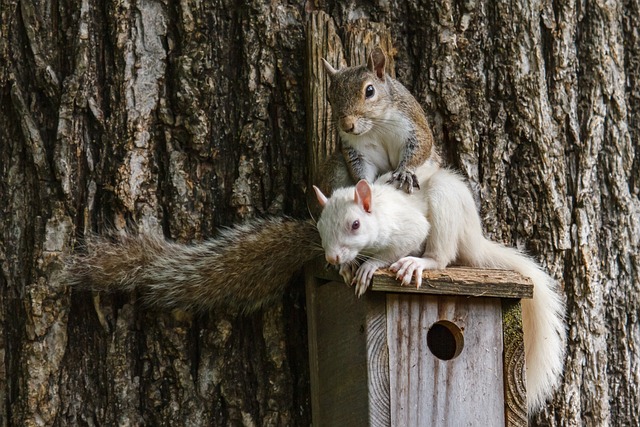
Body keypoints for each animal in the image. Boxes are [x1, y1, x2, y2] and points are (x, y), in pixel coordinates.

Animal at [312, 166, 568, 414]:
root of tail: (474, 239)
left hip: (444, 205)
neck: (380, 212)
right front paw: (346, 267)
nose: (332, 257)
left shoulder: (407, 228)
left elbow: (401, 245)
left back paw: (416, 263)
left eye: (355, 225)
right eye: (320, 226)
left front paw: (369, 266)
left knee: (441, 257)